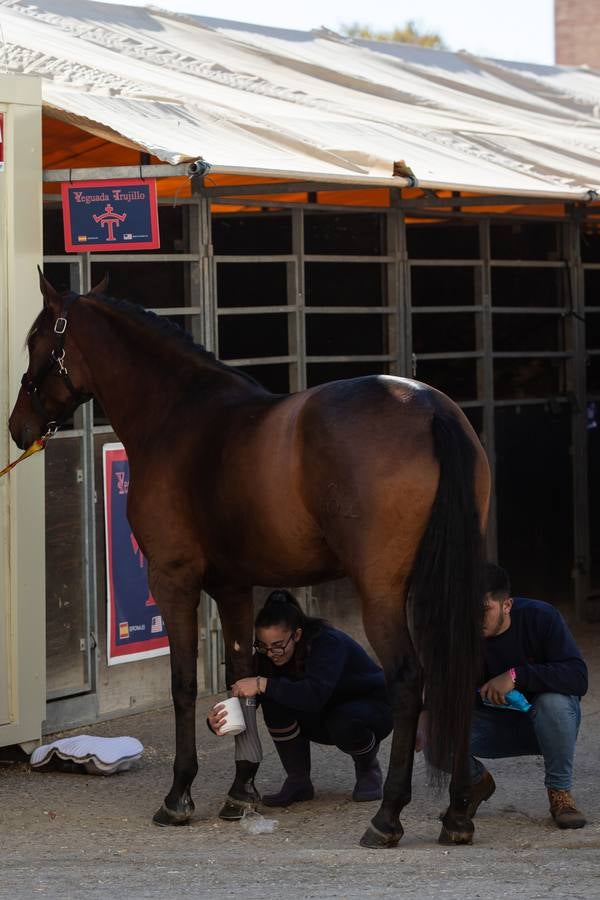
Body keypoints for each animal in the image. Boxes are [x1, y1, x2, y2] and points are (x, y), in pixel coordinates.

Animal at [7, 270, 490, 848]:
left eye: (37, 340)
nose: (17, 426)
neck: (176, 417)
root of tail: (430, 407)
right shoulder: (233, 588)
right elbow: (242, 678)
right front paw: (241, 789)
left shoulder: (173, 580)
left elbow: (184, 684)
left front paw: (179, 795)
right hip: (444, 582)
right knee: (457, 667)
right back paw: (458, 812)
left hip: (382, 590)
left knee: (408, 679)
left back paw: (388, 816)